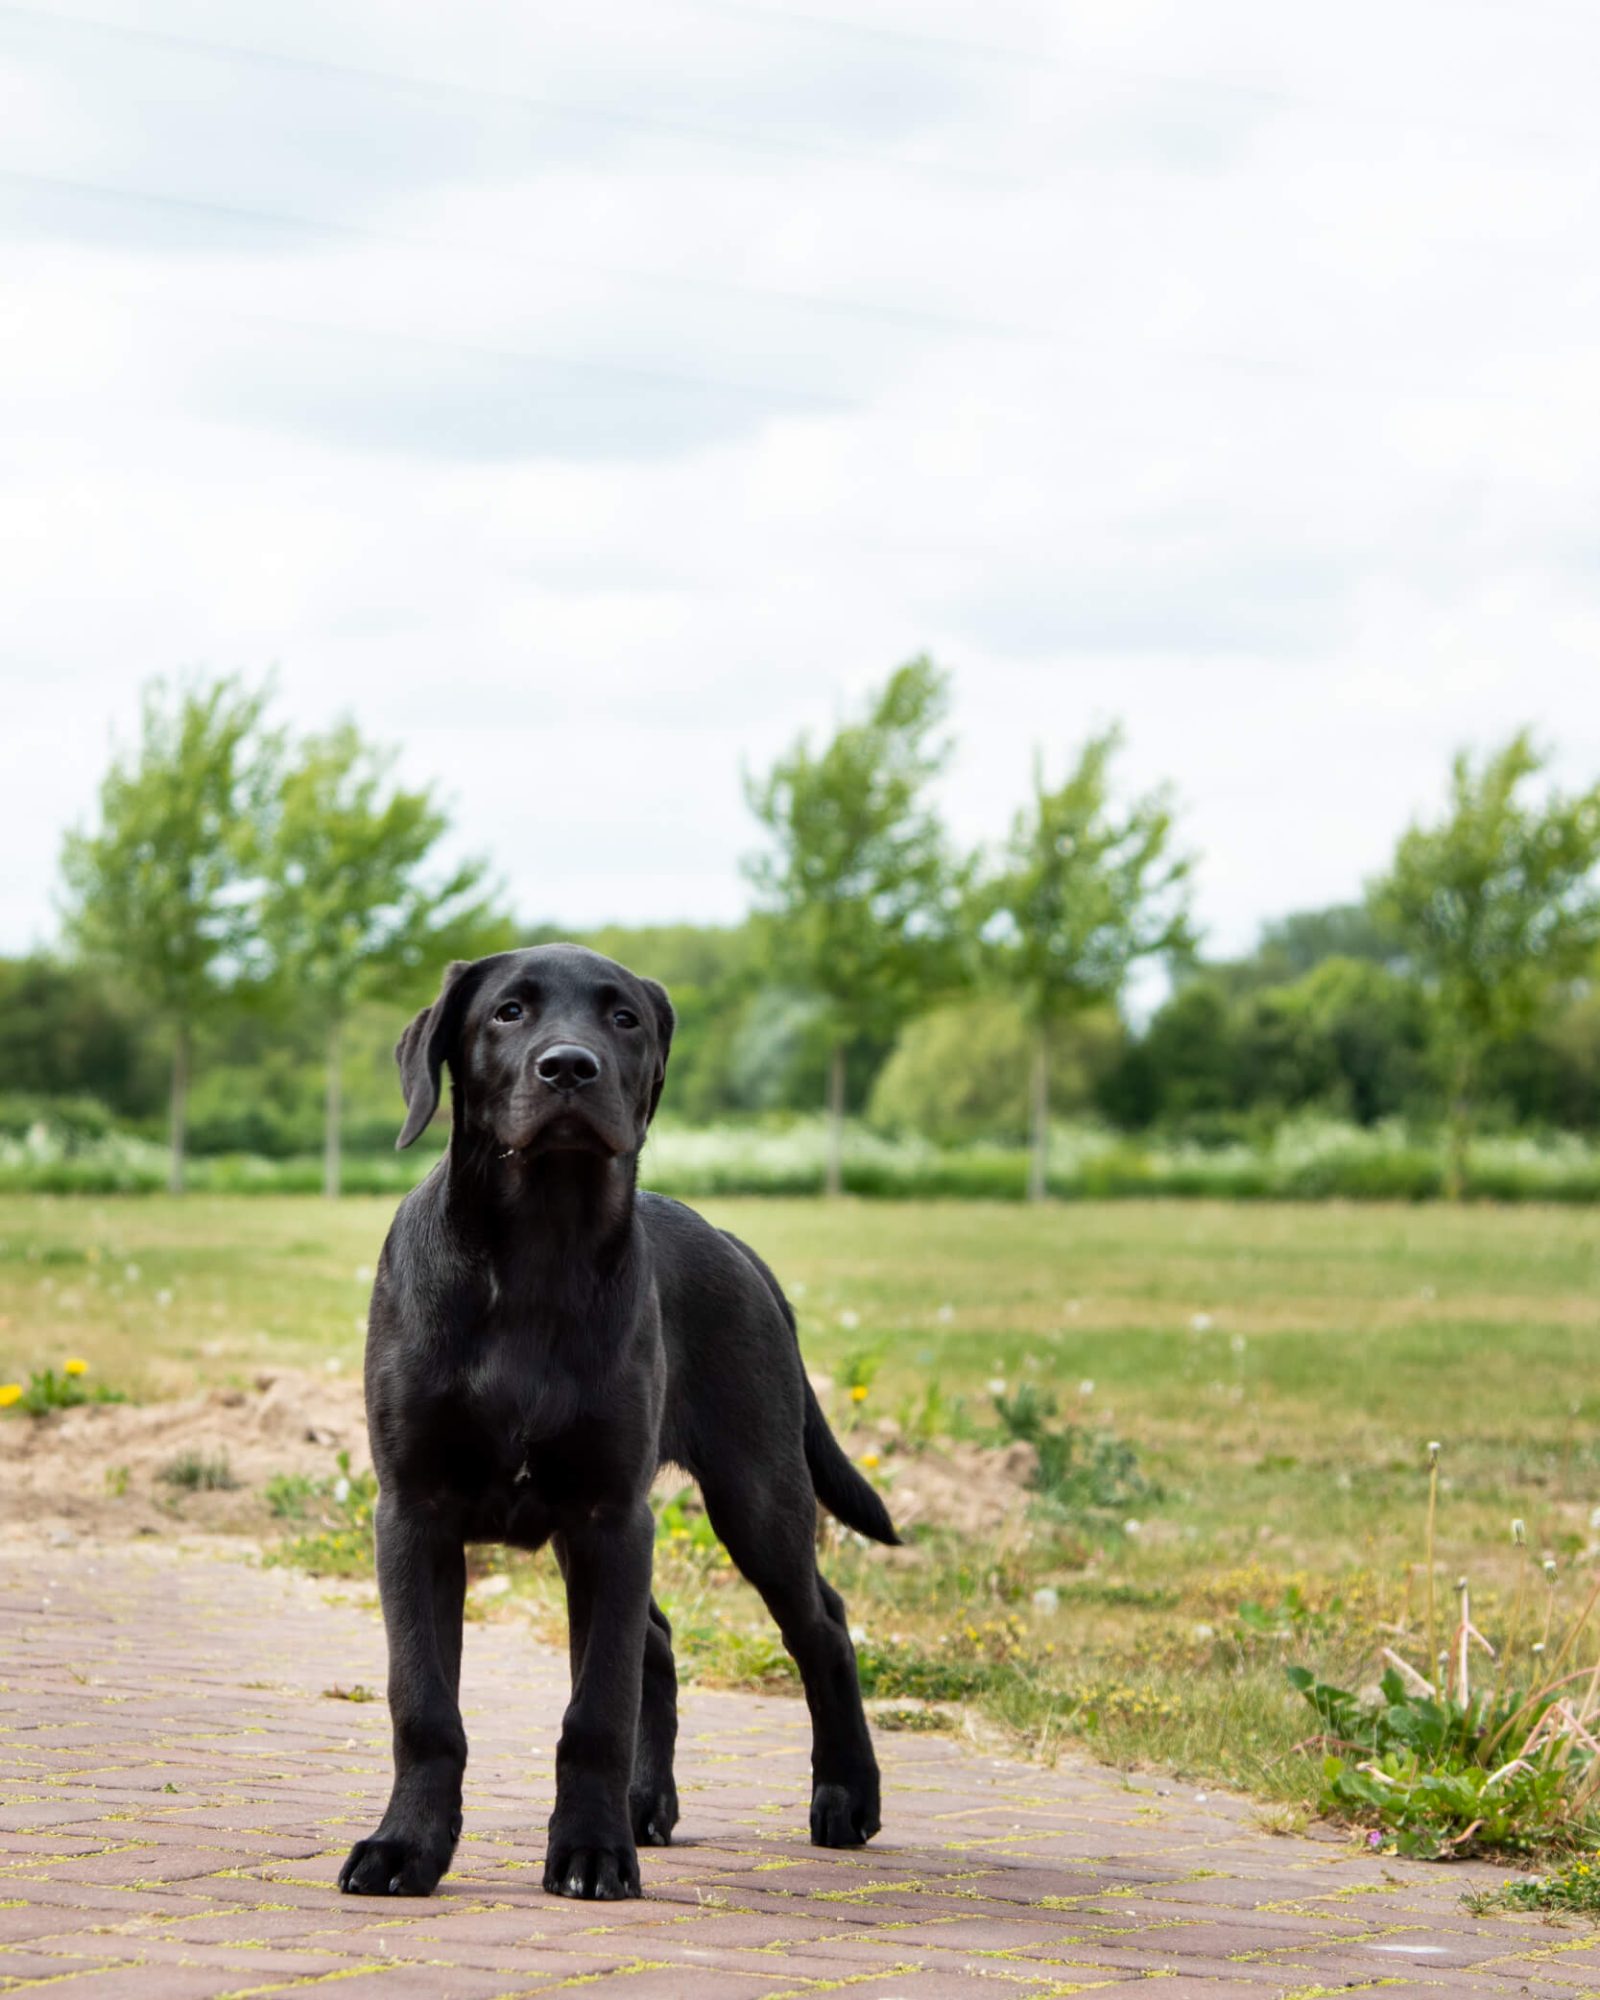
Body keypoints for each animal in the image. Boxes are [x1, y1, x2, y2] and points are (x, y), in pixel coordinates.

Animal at [338, 944, 892, 1896]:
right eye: (508, 1011)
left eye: (624, 1018)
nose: (570, 1067)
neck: (536, 1253)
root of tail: (740, 1250)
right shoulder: (414, 1511)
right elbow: (424, 1702)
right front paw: (405, 1846)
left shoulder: (610, 1512)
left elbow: (596, 1707)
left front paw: (590, 1853)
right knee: (660, 1641)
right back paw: (646, 1806)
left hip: (754, 1492)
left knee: (820, 1624)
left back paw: (846, 1795)